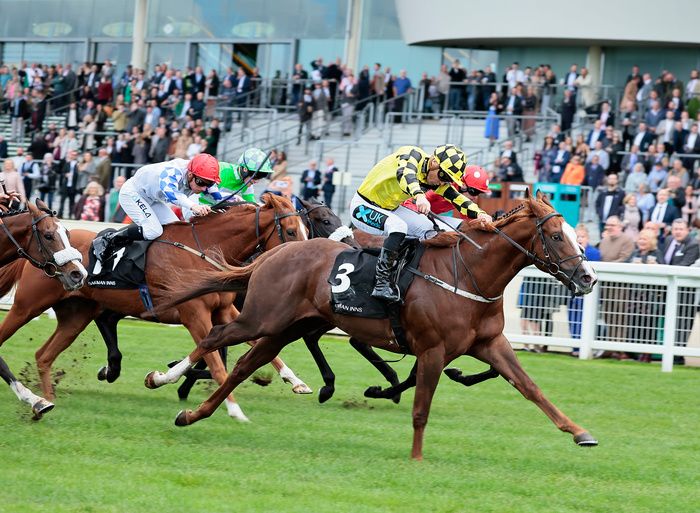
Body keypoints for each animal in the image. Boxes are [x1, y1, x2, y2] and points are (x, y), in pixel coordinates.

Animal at [146, 192, 596, 460]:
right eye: (557, 236)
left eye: (575, 234)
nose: (588, 278)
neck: (468, 274)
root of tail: (278, 251)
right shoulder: (432, 350)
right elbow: (420, 408)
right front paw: (416, 458)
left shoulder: (491, 344)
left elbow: (531, 388)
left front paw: (579, 432)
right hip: (262, 316)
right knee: (215, 337)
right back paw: (163, 378)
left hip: (285, 327)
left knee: (243, 365)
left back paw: (195, 414)